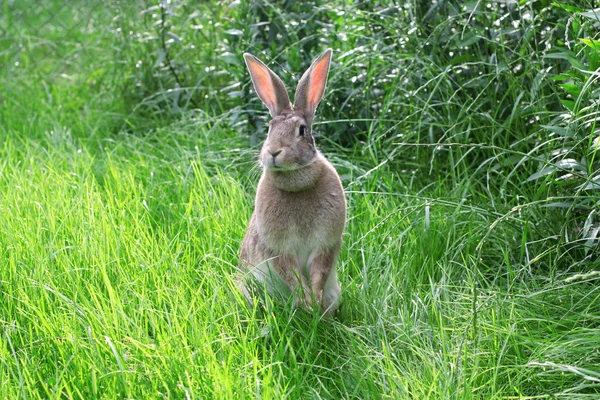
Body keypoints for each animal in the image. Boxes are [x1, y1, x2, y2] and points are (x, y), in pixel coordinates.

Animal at [237, 49, 344, 316]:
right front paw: (307, 303)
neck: (296, 180)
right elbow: (291, 274)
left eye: (302, 130)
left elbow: (319, 271)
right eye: (269, 129)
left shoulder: (326, 243)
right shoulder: (278, 249)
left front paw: (315, 303)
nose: (273, 152)